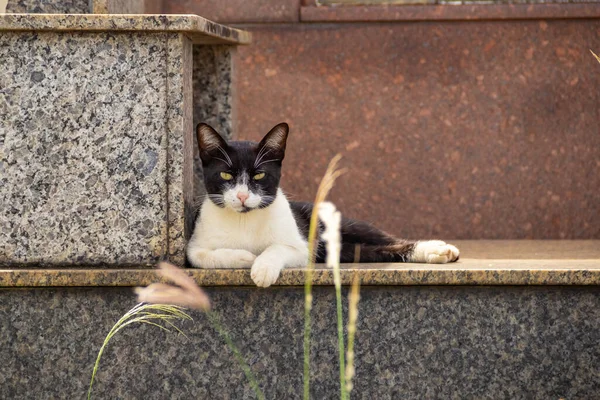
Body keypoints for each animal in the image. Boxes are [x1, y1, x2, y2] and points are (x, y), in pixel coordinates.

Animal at [188, 122, 460, 288]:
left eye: (259, 175)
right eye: (225, 175)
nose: (243, 196)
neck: (245, 219)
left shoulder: (302, 246)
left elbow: (278, 248)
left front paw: (262, 267)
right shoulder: (194, 246)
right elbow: (203, 256)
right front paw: (244, 257)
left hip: (342, 225)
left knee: (391, 240)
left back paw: (437, 249)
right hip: (343, 250)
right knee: (376, 251)